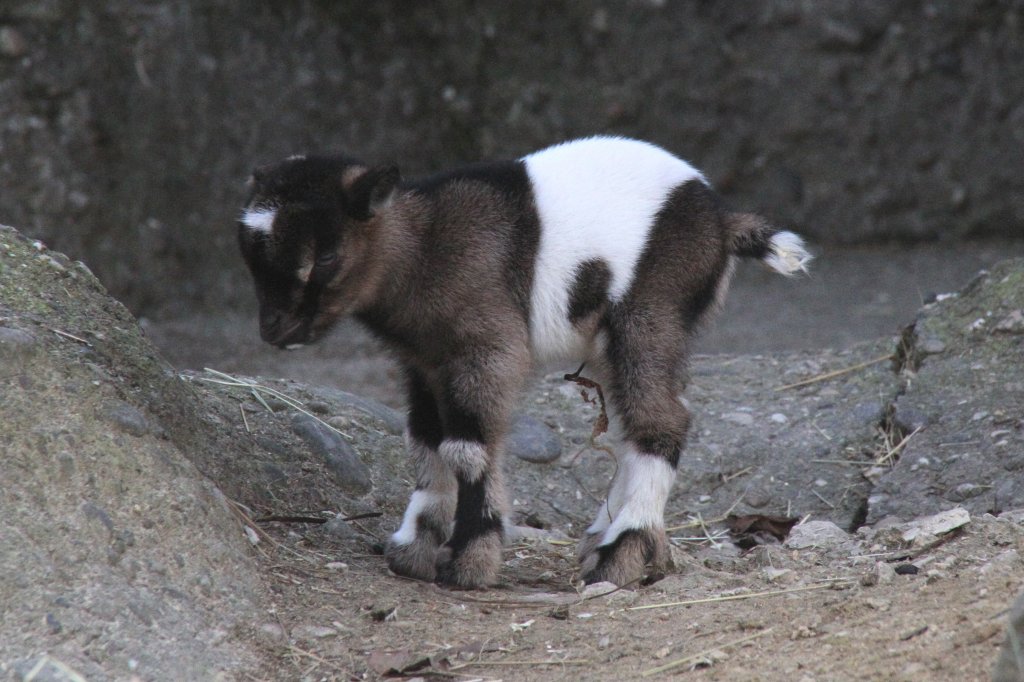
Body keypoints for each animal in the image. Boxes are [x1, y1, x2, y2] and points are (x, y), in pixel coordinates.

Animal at [237, 137, 806, 585]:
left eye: (325, 257)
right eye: (252, 258)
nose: (275, 330)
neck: (424, 248)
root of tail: (723, 221)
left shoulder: (486, 349)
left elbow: (465, 448)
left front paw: (469, 561)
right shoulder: (424, 363)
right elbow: (425, 441)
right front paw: (413, 548)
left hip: (651, 311)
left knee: (663, 421)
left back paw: (619, 555)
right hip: (613, 341)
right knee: (631, 426)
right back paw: (605, 541)